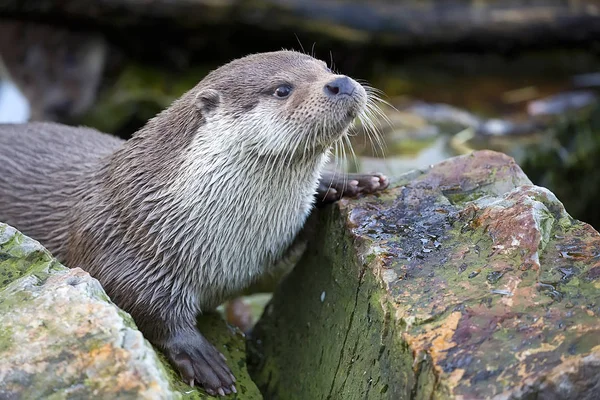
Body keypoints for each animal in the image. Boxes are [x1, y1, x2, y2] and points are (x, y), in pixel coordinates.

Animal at [0, 50, 386, 396]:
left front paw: (350, 182)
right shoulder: (120, 243)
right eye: (282, 89)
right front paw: (201, 358)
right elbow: (140, 301)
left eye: (325, 66)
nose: (340, 82)